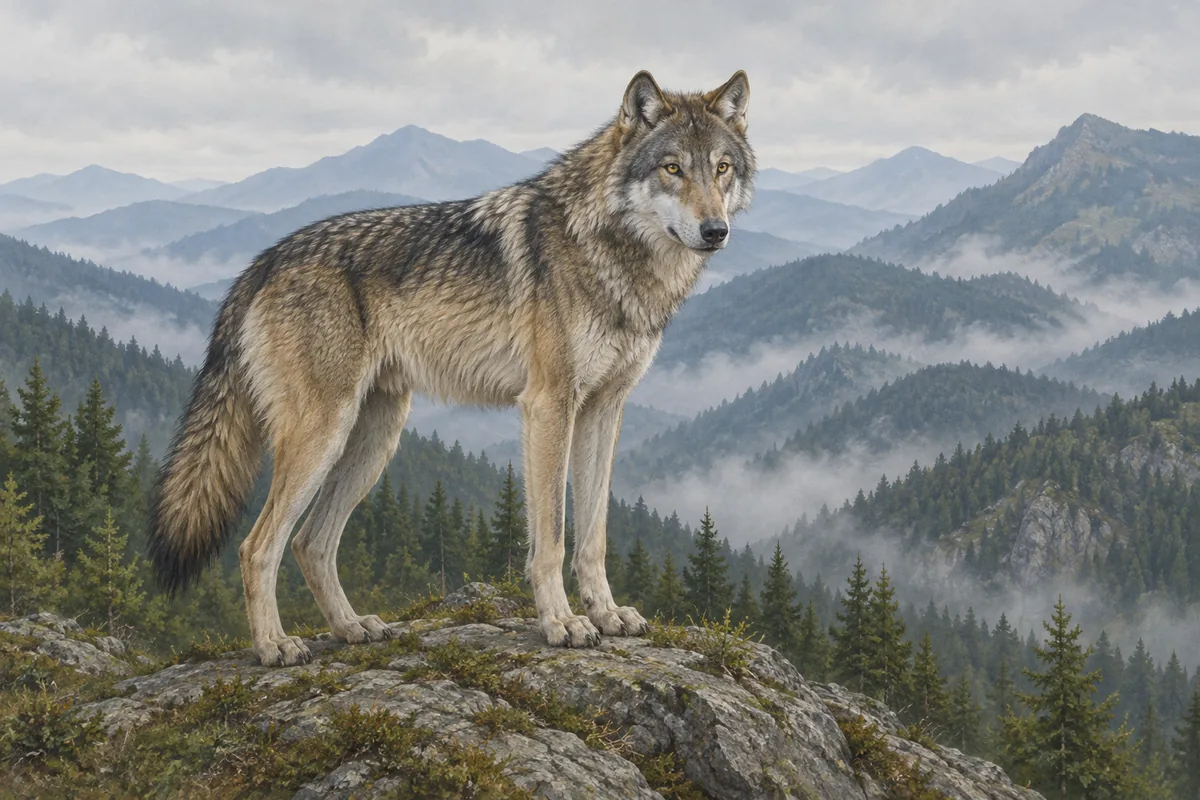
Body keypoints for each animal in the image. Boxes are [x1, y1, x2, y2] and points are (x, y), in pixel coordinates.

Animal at [147, 69, 756, 666]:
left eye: (720, 168)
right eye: (672, 168)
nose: (715, 231)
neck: (611, 249)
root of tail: (265, 259)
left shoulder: (604, 410)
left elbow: (594, 536)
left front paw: (607, 614)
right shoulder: (548, 406)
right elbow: (551, 538)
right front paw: (561, 623)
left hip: (374, 439)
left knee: (310, 542)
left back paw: (350, 628)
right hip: (323, 435)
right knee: (258, 546)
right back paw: (274, 646)